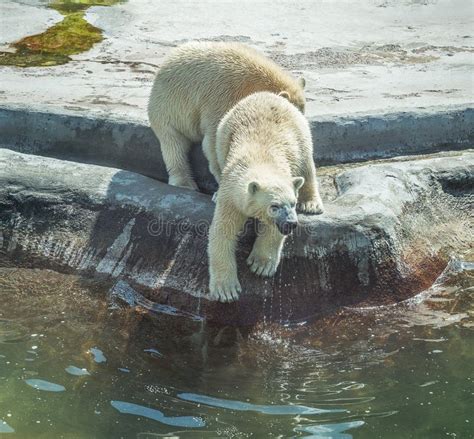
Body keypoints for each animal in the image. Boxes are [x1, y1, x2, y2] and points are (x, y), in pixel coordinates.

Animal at [146, 41, 306, 191]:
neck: (251, 81)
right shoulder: (222, 97)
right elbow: (214, 140)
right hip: (168, 110)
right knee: (173, 145)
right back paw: (185, 183)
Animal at [207, 91, 322, 304]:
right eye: (274, 206)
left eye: (292, 203)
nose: (291, 223)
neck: (260, 159)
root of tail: (269, 94)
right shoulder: (231, 195)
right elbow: (222, 232)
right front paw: (226, 290)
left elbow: (272, 230)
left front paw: (260, 264)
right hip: (223, 130)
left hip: (300, 131)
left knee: (307, 164)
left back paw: (311, 203)